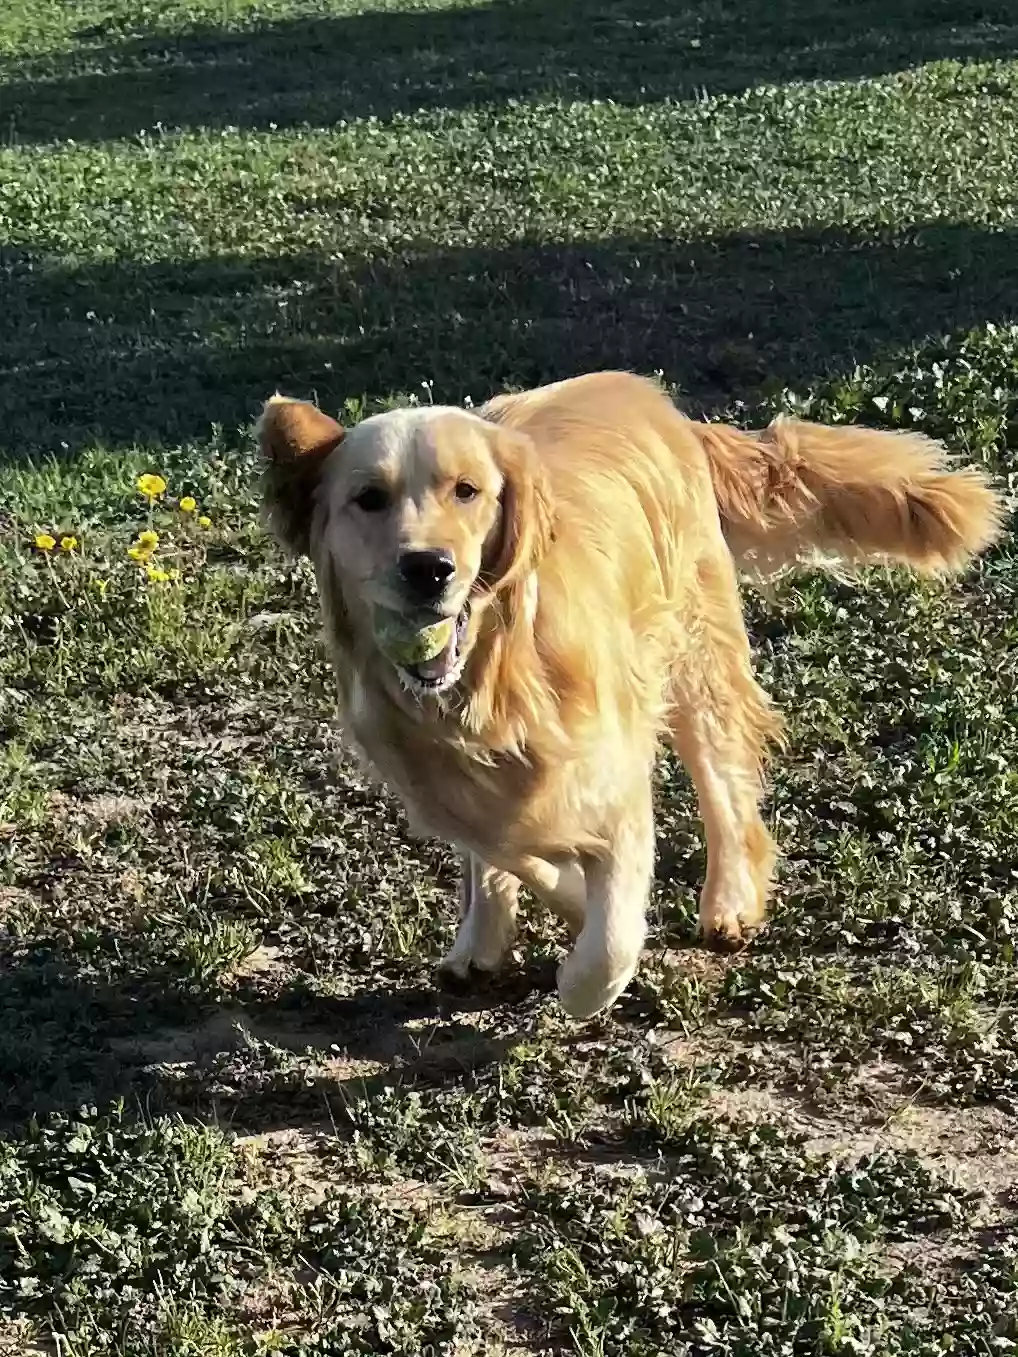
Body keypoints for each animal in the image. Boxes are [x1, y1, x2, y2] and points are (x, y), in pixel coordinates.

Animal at [259, 371, 1009, 1020]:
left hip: (696, 662)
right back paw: (483, 938)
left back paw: (728, 902)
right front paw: (535, 906)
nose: (428, 567)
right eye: (369, 498)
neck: (493, 679)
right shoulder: (449, 787)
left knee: (727, 794)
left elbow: (610, 932)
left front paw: (586, 974)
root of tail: (656, 398)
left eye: (466, 491)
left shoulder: (612, 773)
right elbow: (516, 850)